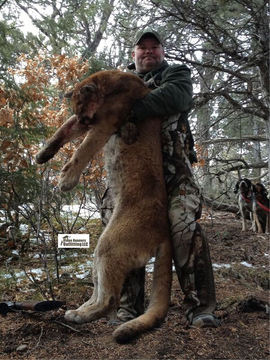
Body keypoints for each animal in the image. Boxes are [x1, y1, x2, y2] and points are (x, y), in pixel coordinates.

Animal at [35, 70, 172, 344]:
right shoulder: (92, 122)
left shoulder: (105, 123)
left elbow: (83, 149)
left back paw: (80, 316)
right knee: (100, 290)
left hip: (111, 244)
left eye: (81, 106)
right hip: (102, 249)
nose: (83, 118)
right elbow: (63, 130)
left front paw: (67, 180)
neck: (112, 85)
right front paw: (43, 154)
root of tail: (165, 229)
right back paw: (77, 310)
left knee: (111, 299)